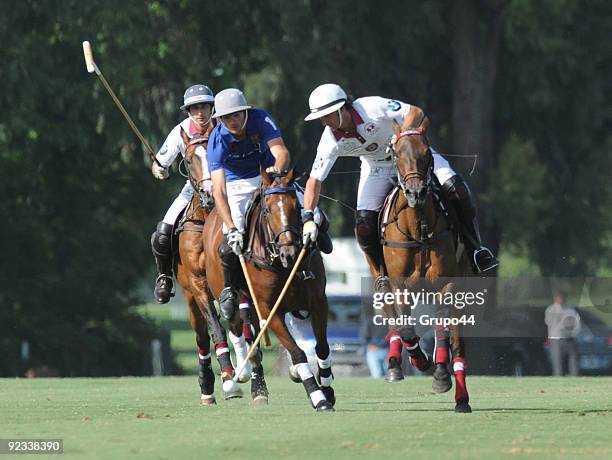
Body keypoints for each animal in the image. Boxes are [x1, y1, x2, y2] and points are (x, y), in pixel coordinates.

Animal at [172, 127, 268, 404]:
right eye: (189, 159)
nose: (208, 194)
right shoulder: (198, 284)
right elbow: (217, 330)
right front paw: (228, 378)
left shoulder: (239, 282)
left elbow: (245, 325)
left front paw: (251, 380)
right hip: (189, 296)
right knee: (202, 337)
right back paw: (208, 387)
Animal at [201, 167, 334, 412]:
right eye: (267, 209)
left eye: (297, 206)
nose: (290, 253)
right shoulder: (269, 310)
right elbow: (298, 353)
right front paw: (317, 397)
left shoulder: (319, 302)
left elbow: (321, 347)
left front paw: (327, 390)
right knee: (237, 329)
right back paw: (241, 381)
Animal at [382, 115, 474, 414]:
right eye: (397, 154)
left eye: (426, 152)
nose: (417, 193)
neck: (419, 228)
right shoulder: (399, 285)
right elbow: (406, 327)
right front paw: (419, 360)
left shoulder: (448, 283)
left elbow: (443, 328)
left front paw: (441, 375)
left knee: (457, 343)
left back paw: (461, 397)